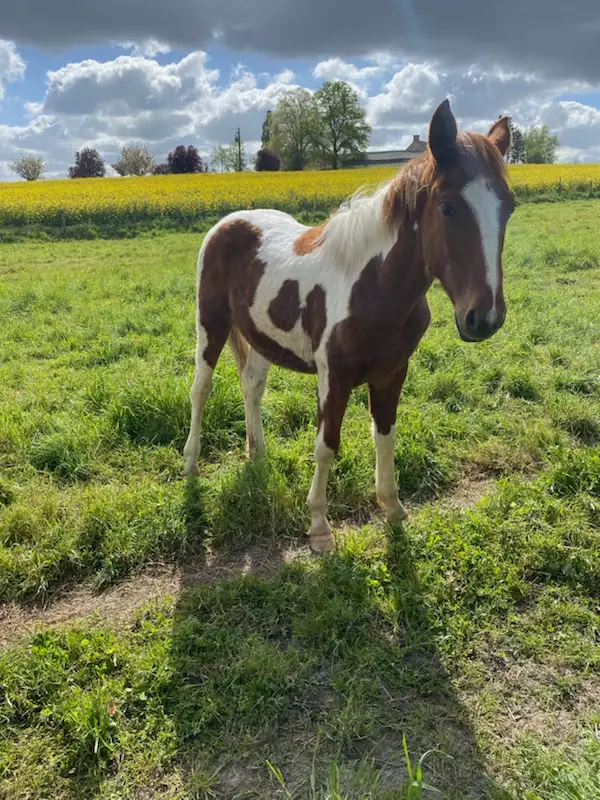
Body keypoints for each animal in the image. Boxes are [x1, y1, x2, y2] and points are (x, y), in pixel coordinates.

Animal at [180, 98, 512, 552]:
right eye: (448, 206)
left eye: (508, 206)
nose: (484, 318)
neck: (374, 288)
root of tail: (227, 223)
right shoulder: (332, 378)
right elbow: (326, 445)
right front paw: (320, 527)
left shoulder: (392, 374)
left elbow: (385, 436)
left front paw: (392, 509)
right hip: (210, 327)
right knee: (201, 390)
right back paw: (191, 464)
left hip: (261, 338)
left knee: (251, 387)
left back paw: (257, 453)